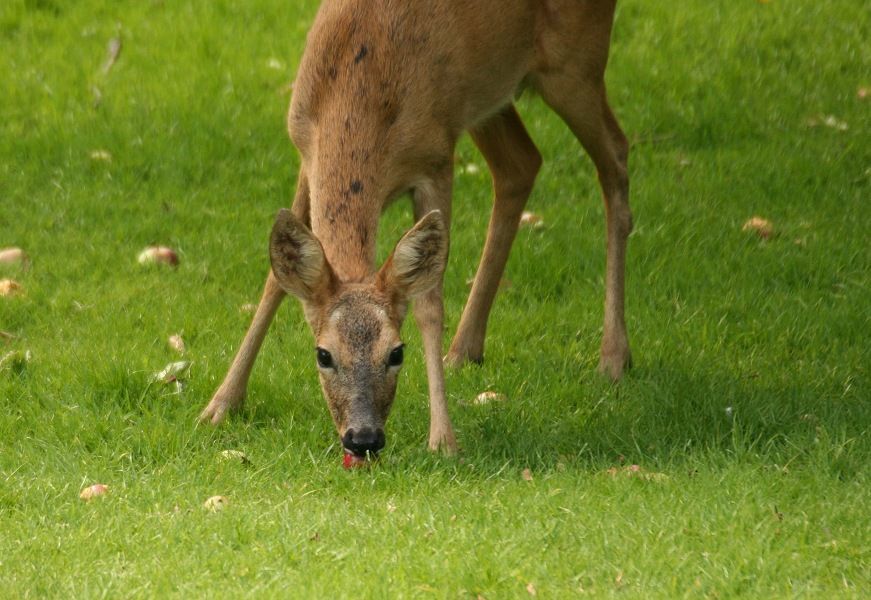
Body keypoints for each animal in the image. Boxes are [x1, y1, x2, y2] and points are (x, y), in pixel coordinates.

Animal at [198, 0, 632, 460]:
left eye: (396, 352)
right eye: (323, 354)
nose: (363, 439)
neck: (357, 88)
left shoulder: (435, 160)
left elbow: (428, 303)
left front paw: (443, 439)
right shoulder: (305, 152)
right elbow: (273, 283)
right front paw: (220, 404)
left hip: (576, 64)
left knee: (615, 156)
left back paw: (614, 356)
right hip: (490, 95)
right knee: (521, 163)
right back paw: (463, 351)